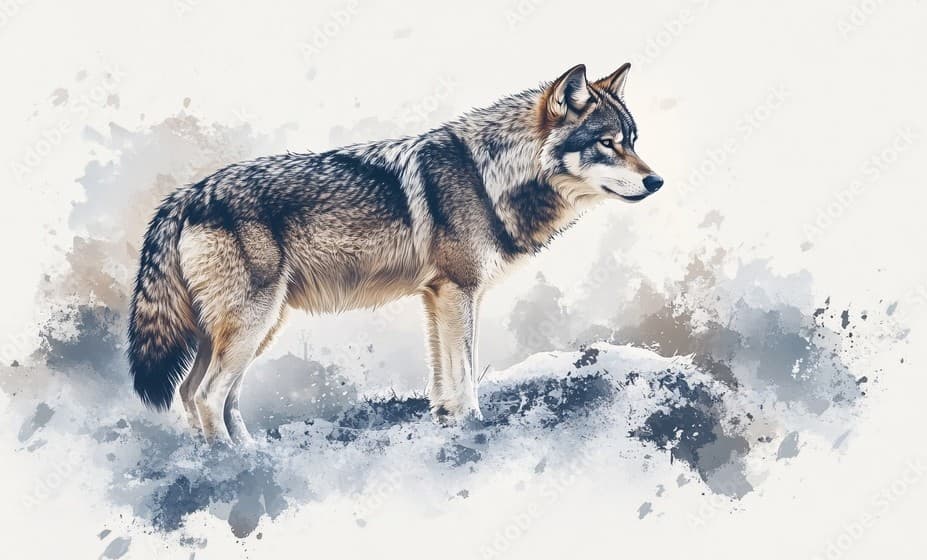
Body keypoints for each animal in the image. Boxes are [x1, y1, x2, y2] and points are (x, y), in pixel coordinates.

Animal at [128, 63, 663, 444]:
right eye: (607, 143)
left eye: (634, 142)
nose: (656, 181)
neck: (488, 176)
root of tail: (188, 194)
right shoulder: (458, 292)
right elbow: (466, 375)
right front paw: (474, 427)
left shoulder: (439, 297)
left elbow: (445, 377)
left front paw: (448, 425)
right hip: (252, 325)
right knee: (206, 395)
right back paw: (235, 467)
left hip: (253, 329)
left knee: (198, 394)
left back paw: (244, 456)